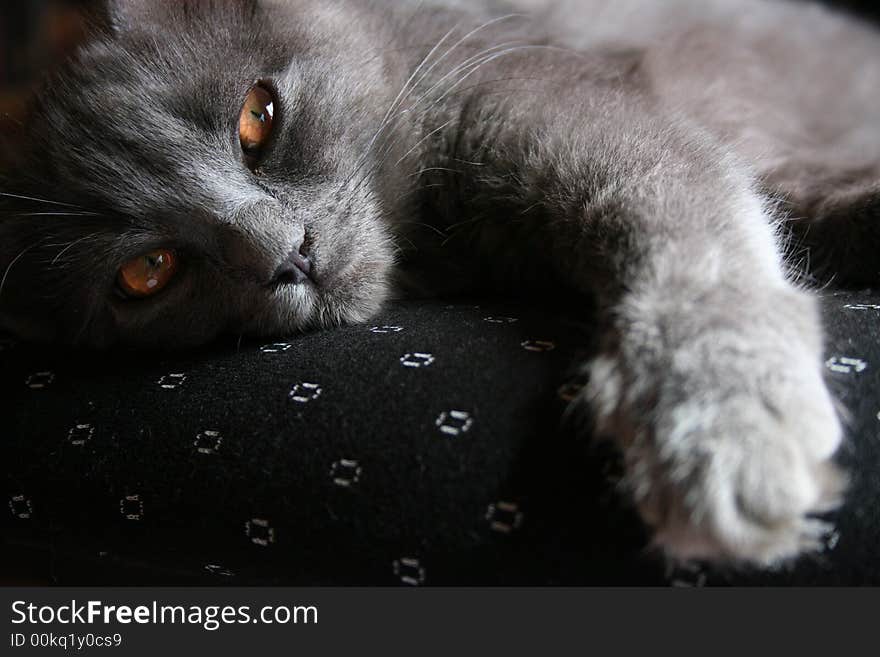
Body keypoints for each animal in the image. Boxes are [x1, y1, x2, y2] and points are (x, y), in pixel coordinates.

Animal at [1, 0, 880, 564]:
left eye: (257, 117)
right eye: (147, 272)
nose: (284, 253)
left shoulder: (555, 102)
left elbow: (683, 211)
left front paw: (723, 428)